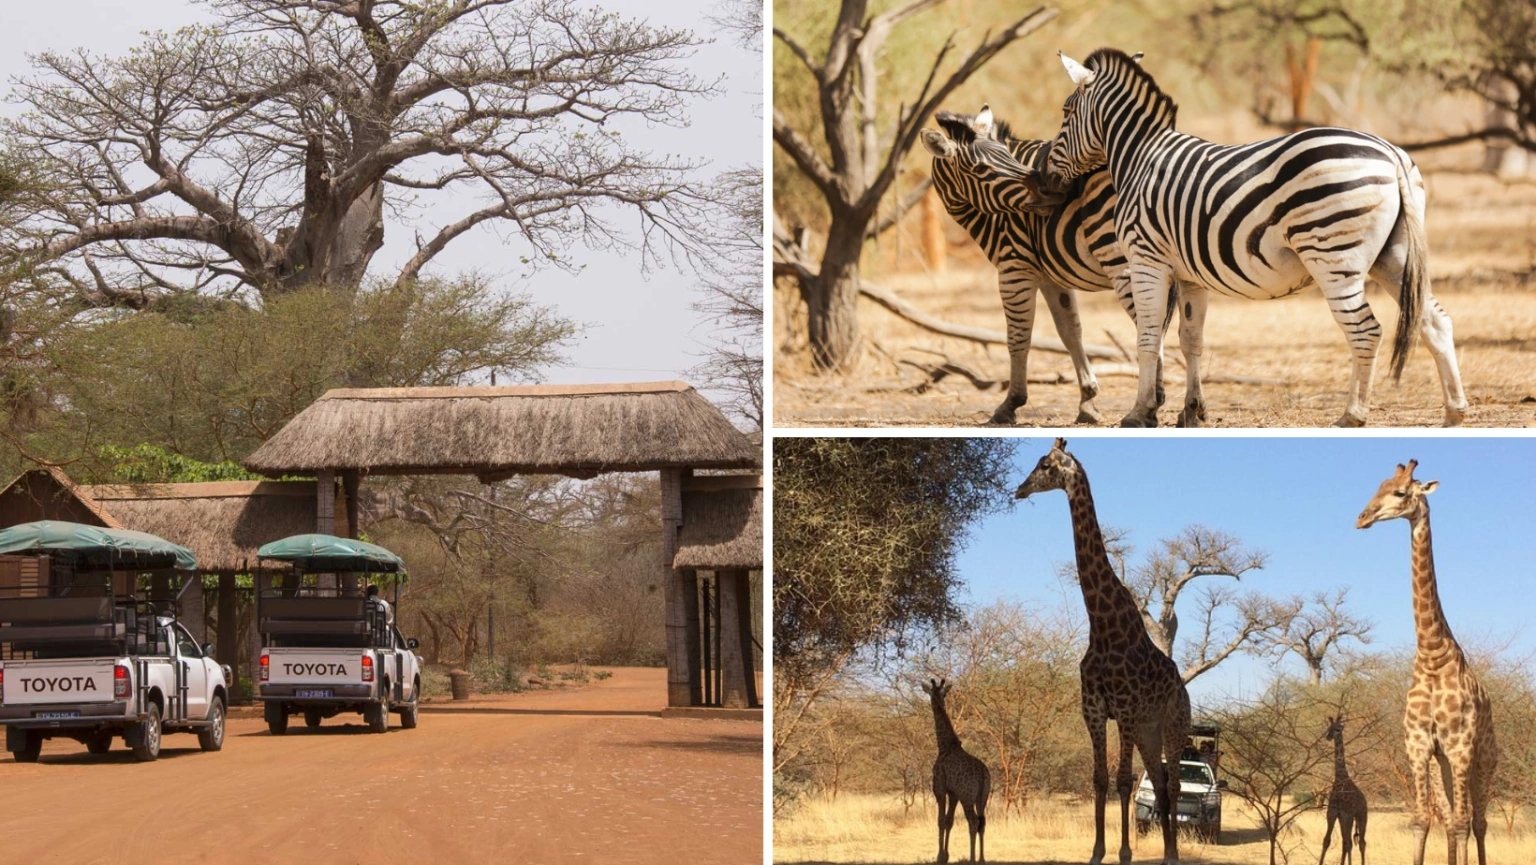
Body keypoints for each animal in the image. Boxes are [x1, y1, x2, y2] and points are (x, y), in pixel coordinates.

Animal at [921, 678, 991, 864]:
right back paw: (982, 859)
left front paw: (939, 857)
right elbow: (949, 821)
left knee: (973, 821)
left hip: (967, 796)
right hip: (983, 796)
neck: (945, 746)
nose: (933, 702)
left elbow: (940, 820)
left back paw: (972, 859)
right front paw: (946, 856)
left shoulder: (940, 789)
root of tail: (983, 773)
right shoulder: (953, 793)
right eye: (942, 694)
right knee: (982, 822)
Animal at [1016, 439, 1190, 865]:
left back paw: (1173, 854)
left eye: (1045, 465)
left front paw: (1124, 853)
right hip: (1148, 731)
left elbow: (1124, 781)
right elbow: (1100, 779)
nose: (1019, 490)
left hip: (1174, 723)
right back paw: (1166, 850)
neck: (1103, 625)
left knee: (1174, 785)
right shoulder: (1093, 709)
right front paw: (1097, 852)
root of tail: (1184, 687)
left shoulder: (1124, 709)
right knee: (1159, 781)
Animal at [1319, 716, 1368, 865]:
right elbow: (1326, 841)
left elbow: (1349, 844)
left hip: (1361, 815)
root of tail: (1365, 800)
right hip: (1344, 819)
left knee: (1361, 842)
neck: (1340, 778)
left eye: (1338, 729)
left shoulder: (1347, 814)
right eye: (1328, 728)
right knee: (1345, 842)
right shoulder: (1333, 813)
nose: (1328, 737)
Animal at [1357, 460, 1497, 865]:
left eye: (1401, 492)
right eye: (1378, 486)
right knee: (1450, 818)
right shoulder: (1419, 747)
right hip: (1442, 766)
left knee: (1476, 821)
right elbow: (1422, 819)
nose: (1362, 518)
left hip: (1483, 760)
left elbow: (1465, 821)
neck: (1433, 655)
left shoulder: (1460, 747)